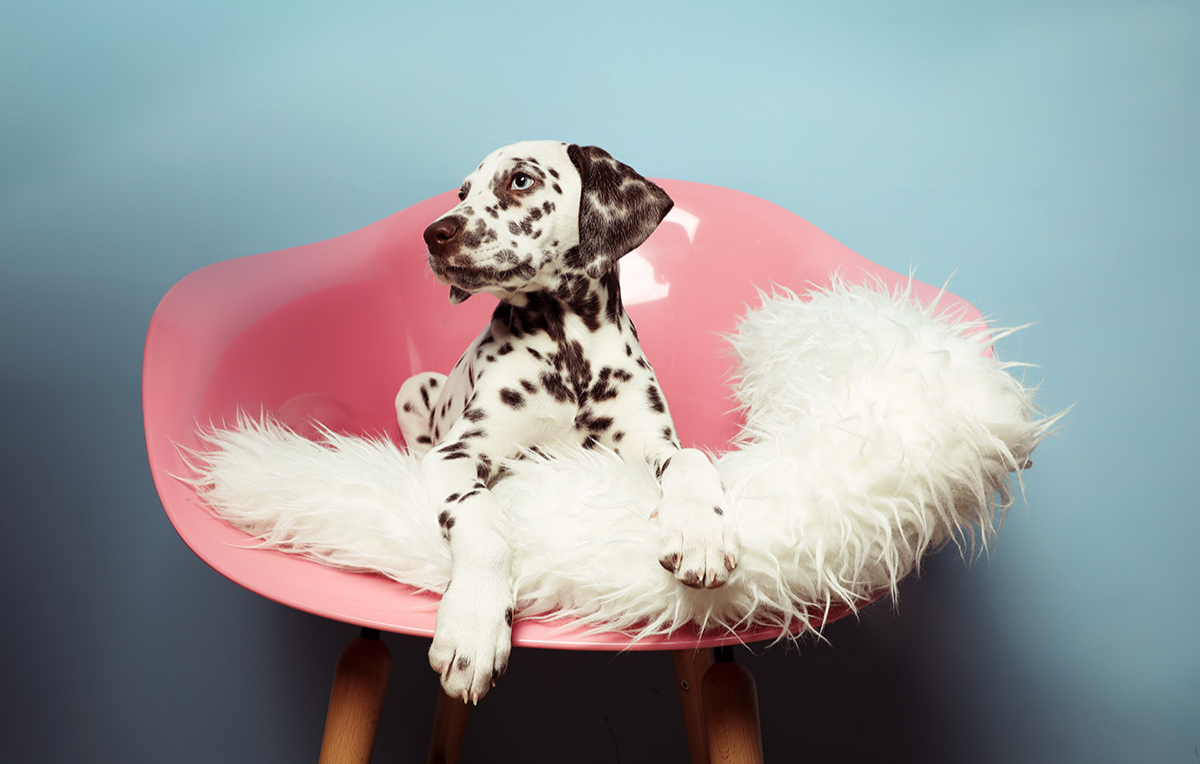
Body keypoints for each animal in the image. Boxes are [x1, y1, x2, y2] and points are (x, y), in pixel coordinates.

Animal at [395, 141, 739, 703]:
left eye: (520, 180)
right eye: (463, 192)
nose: (434, 233)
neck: (566, 347)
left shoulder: (652, 445)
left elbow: (691, 457)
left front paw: (699, 532)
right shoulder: (457, 453)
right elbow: (481, 518)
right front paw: (473, 625)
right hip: (414, 388)